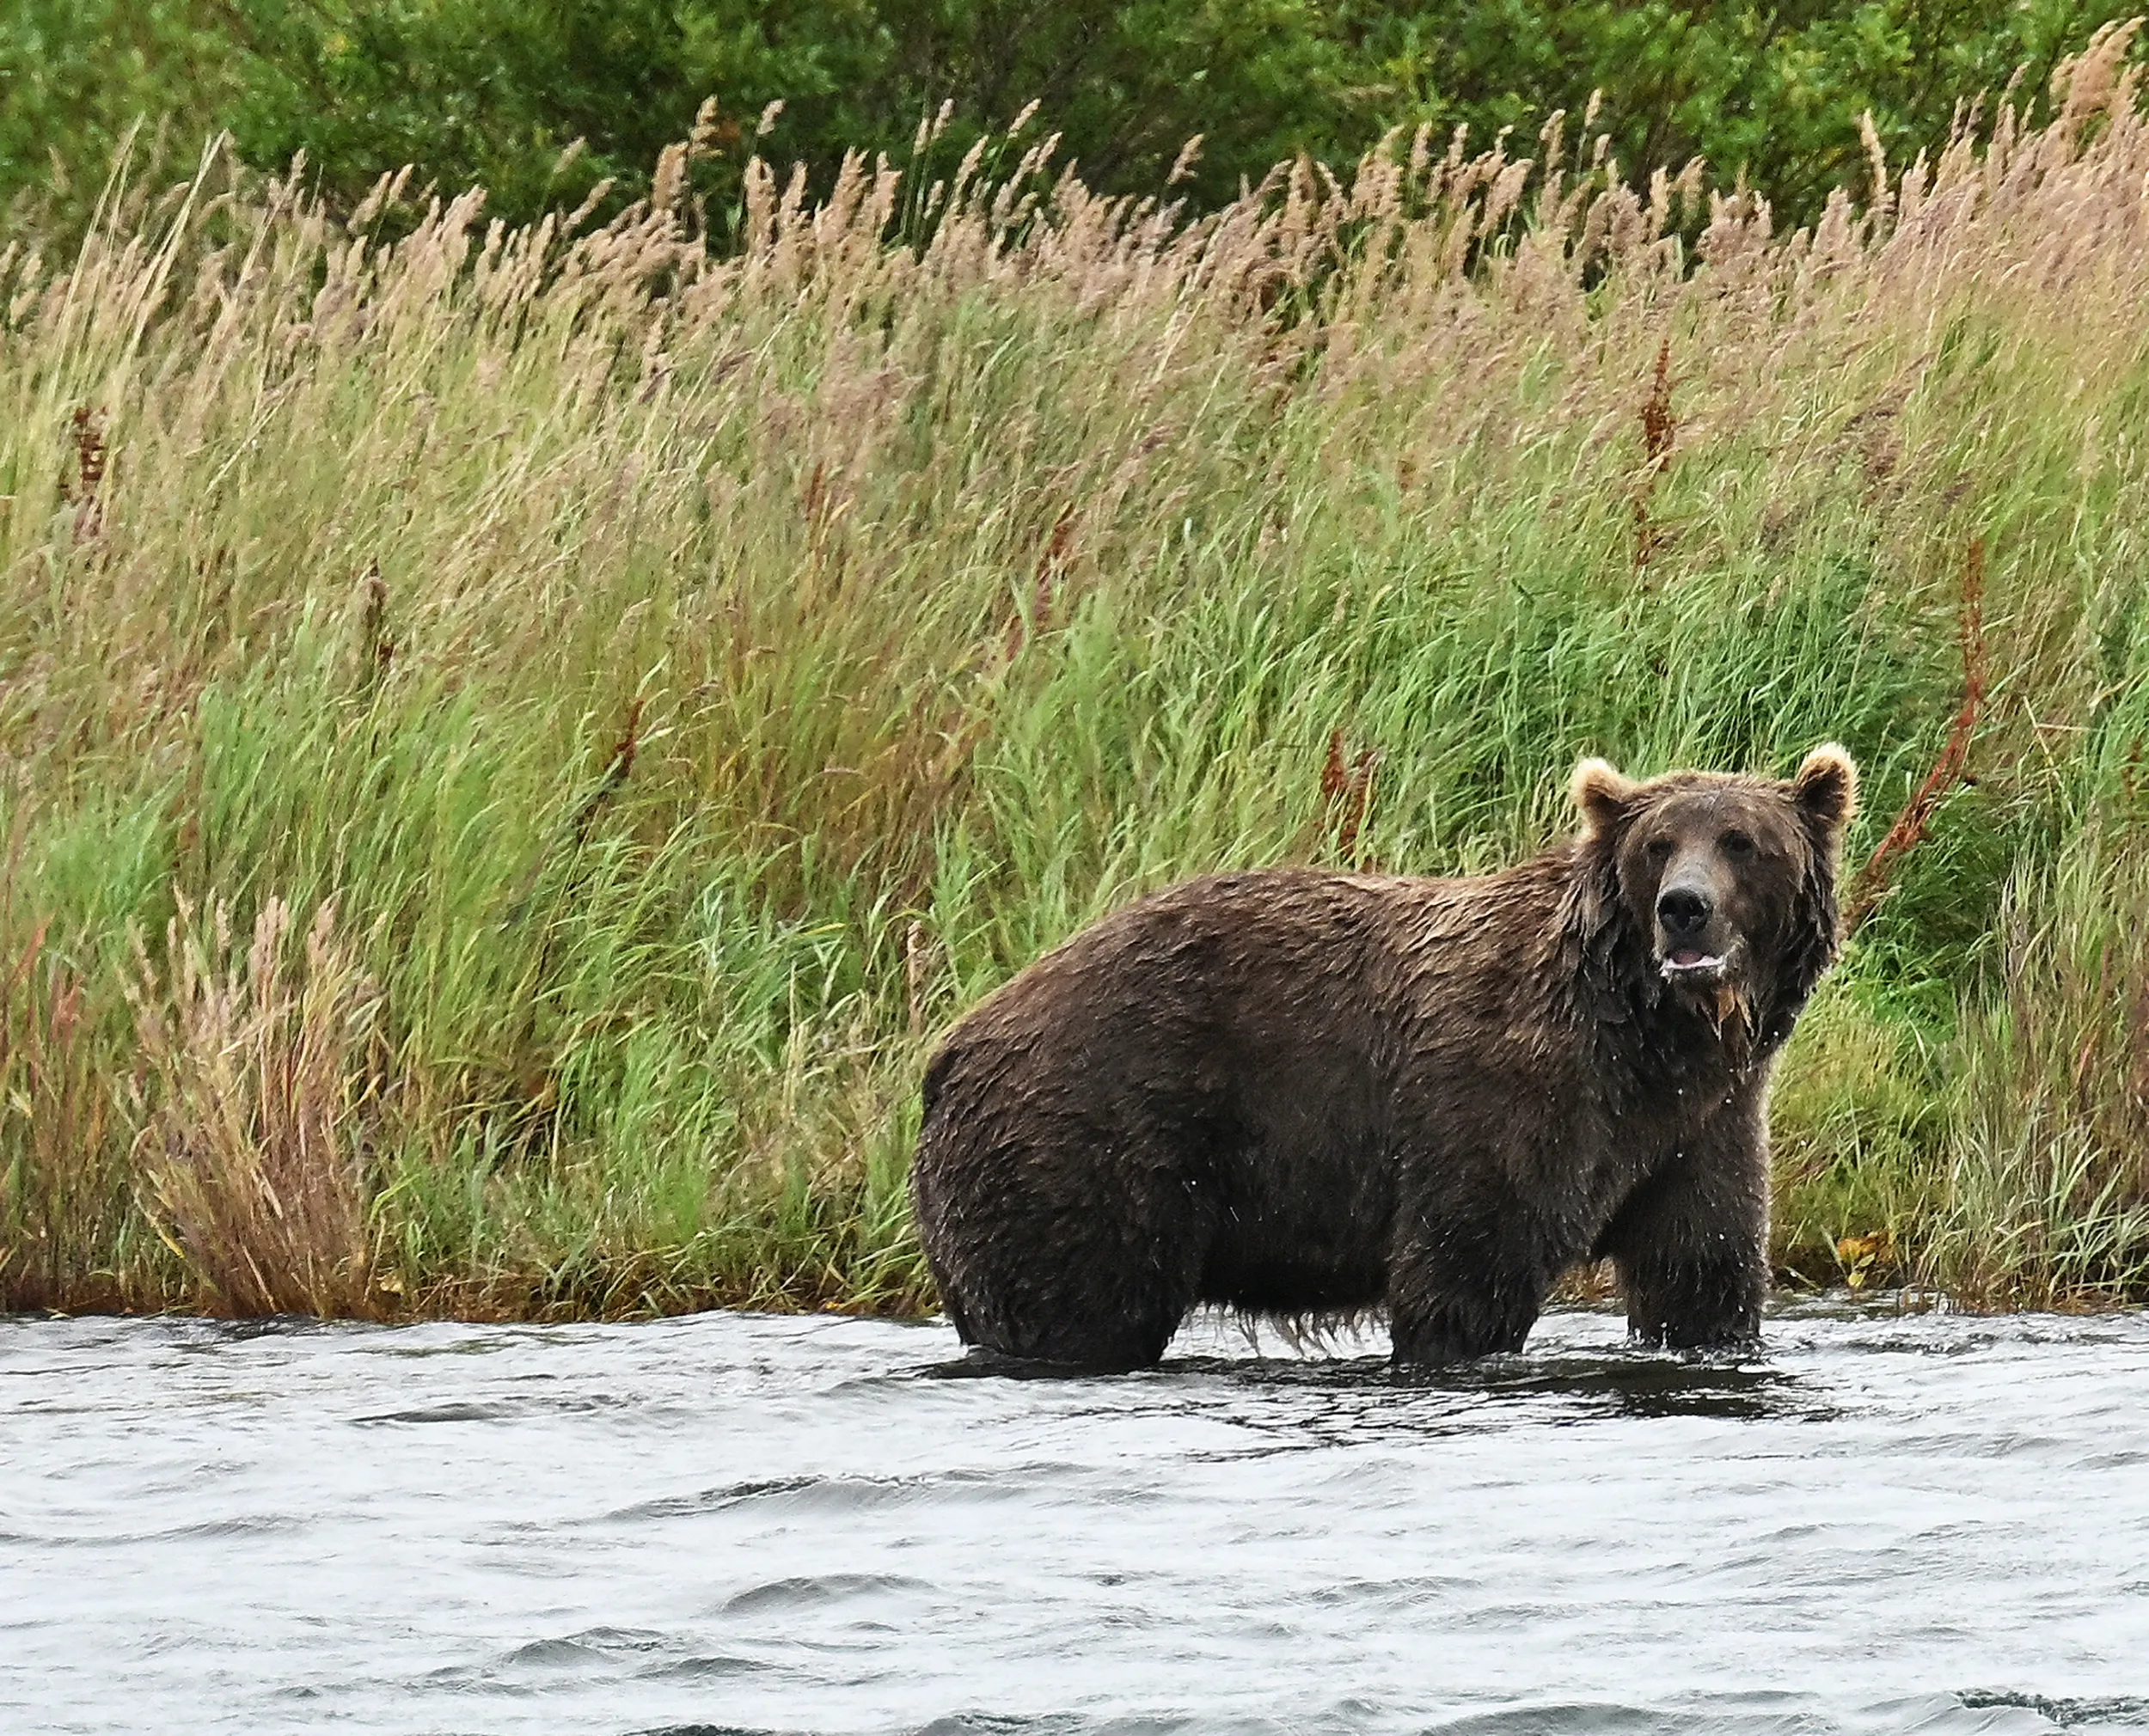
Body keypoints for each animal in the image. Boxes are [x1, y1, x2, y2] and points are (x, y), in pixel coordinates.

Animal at [910, 744, 1858, 1370]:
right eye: (1657, 844)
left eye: (1742, 841)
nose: (1683, 907)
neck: (1653, 1040)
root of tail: (953, 1045)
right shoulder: (1511, 1094)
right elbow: (1467, 1271)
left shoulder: (1700, 1126)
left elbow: (1702, 1269)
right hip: (1088, 1135)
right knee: (1078, 1303)